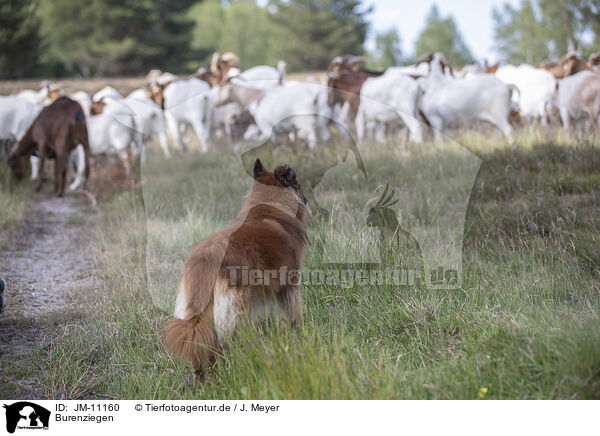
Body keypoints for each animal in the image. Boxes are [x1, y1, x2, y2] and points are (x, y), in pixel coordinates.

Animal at [164, 158, 308, 380]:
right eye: (298, 184)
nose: (307, 199)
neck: (269, 208)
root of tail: (208, 256)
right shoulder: (289, 286)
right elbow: (293, 315)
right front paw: (297, 336)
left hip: (200, 311)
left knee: (201, 344)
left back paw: (204, 379)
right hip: (237, 309)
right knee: (222, 344)